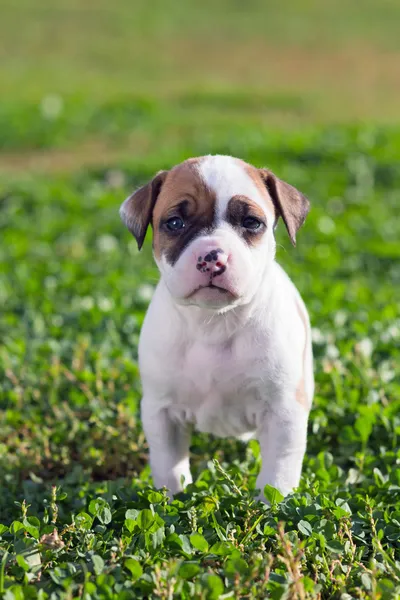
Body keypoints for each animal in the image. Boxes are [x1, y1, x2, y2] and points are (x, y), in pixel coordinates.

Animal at [120, 155, 314, 502]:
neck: (214, 322)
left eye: (251, 222)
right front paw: (172, 501)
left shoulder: (284, 413)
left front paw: (271, 506)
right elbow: (169, 465)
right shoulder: (162, 413)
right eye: (174, 223)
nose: (213, 256)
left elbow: (278, 471)